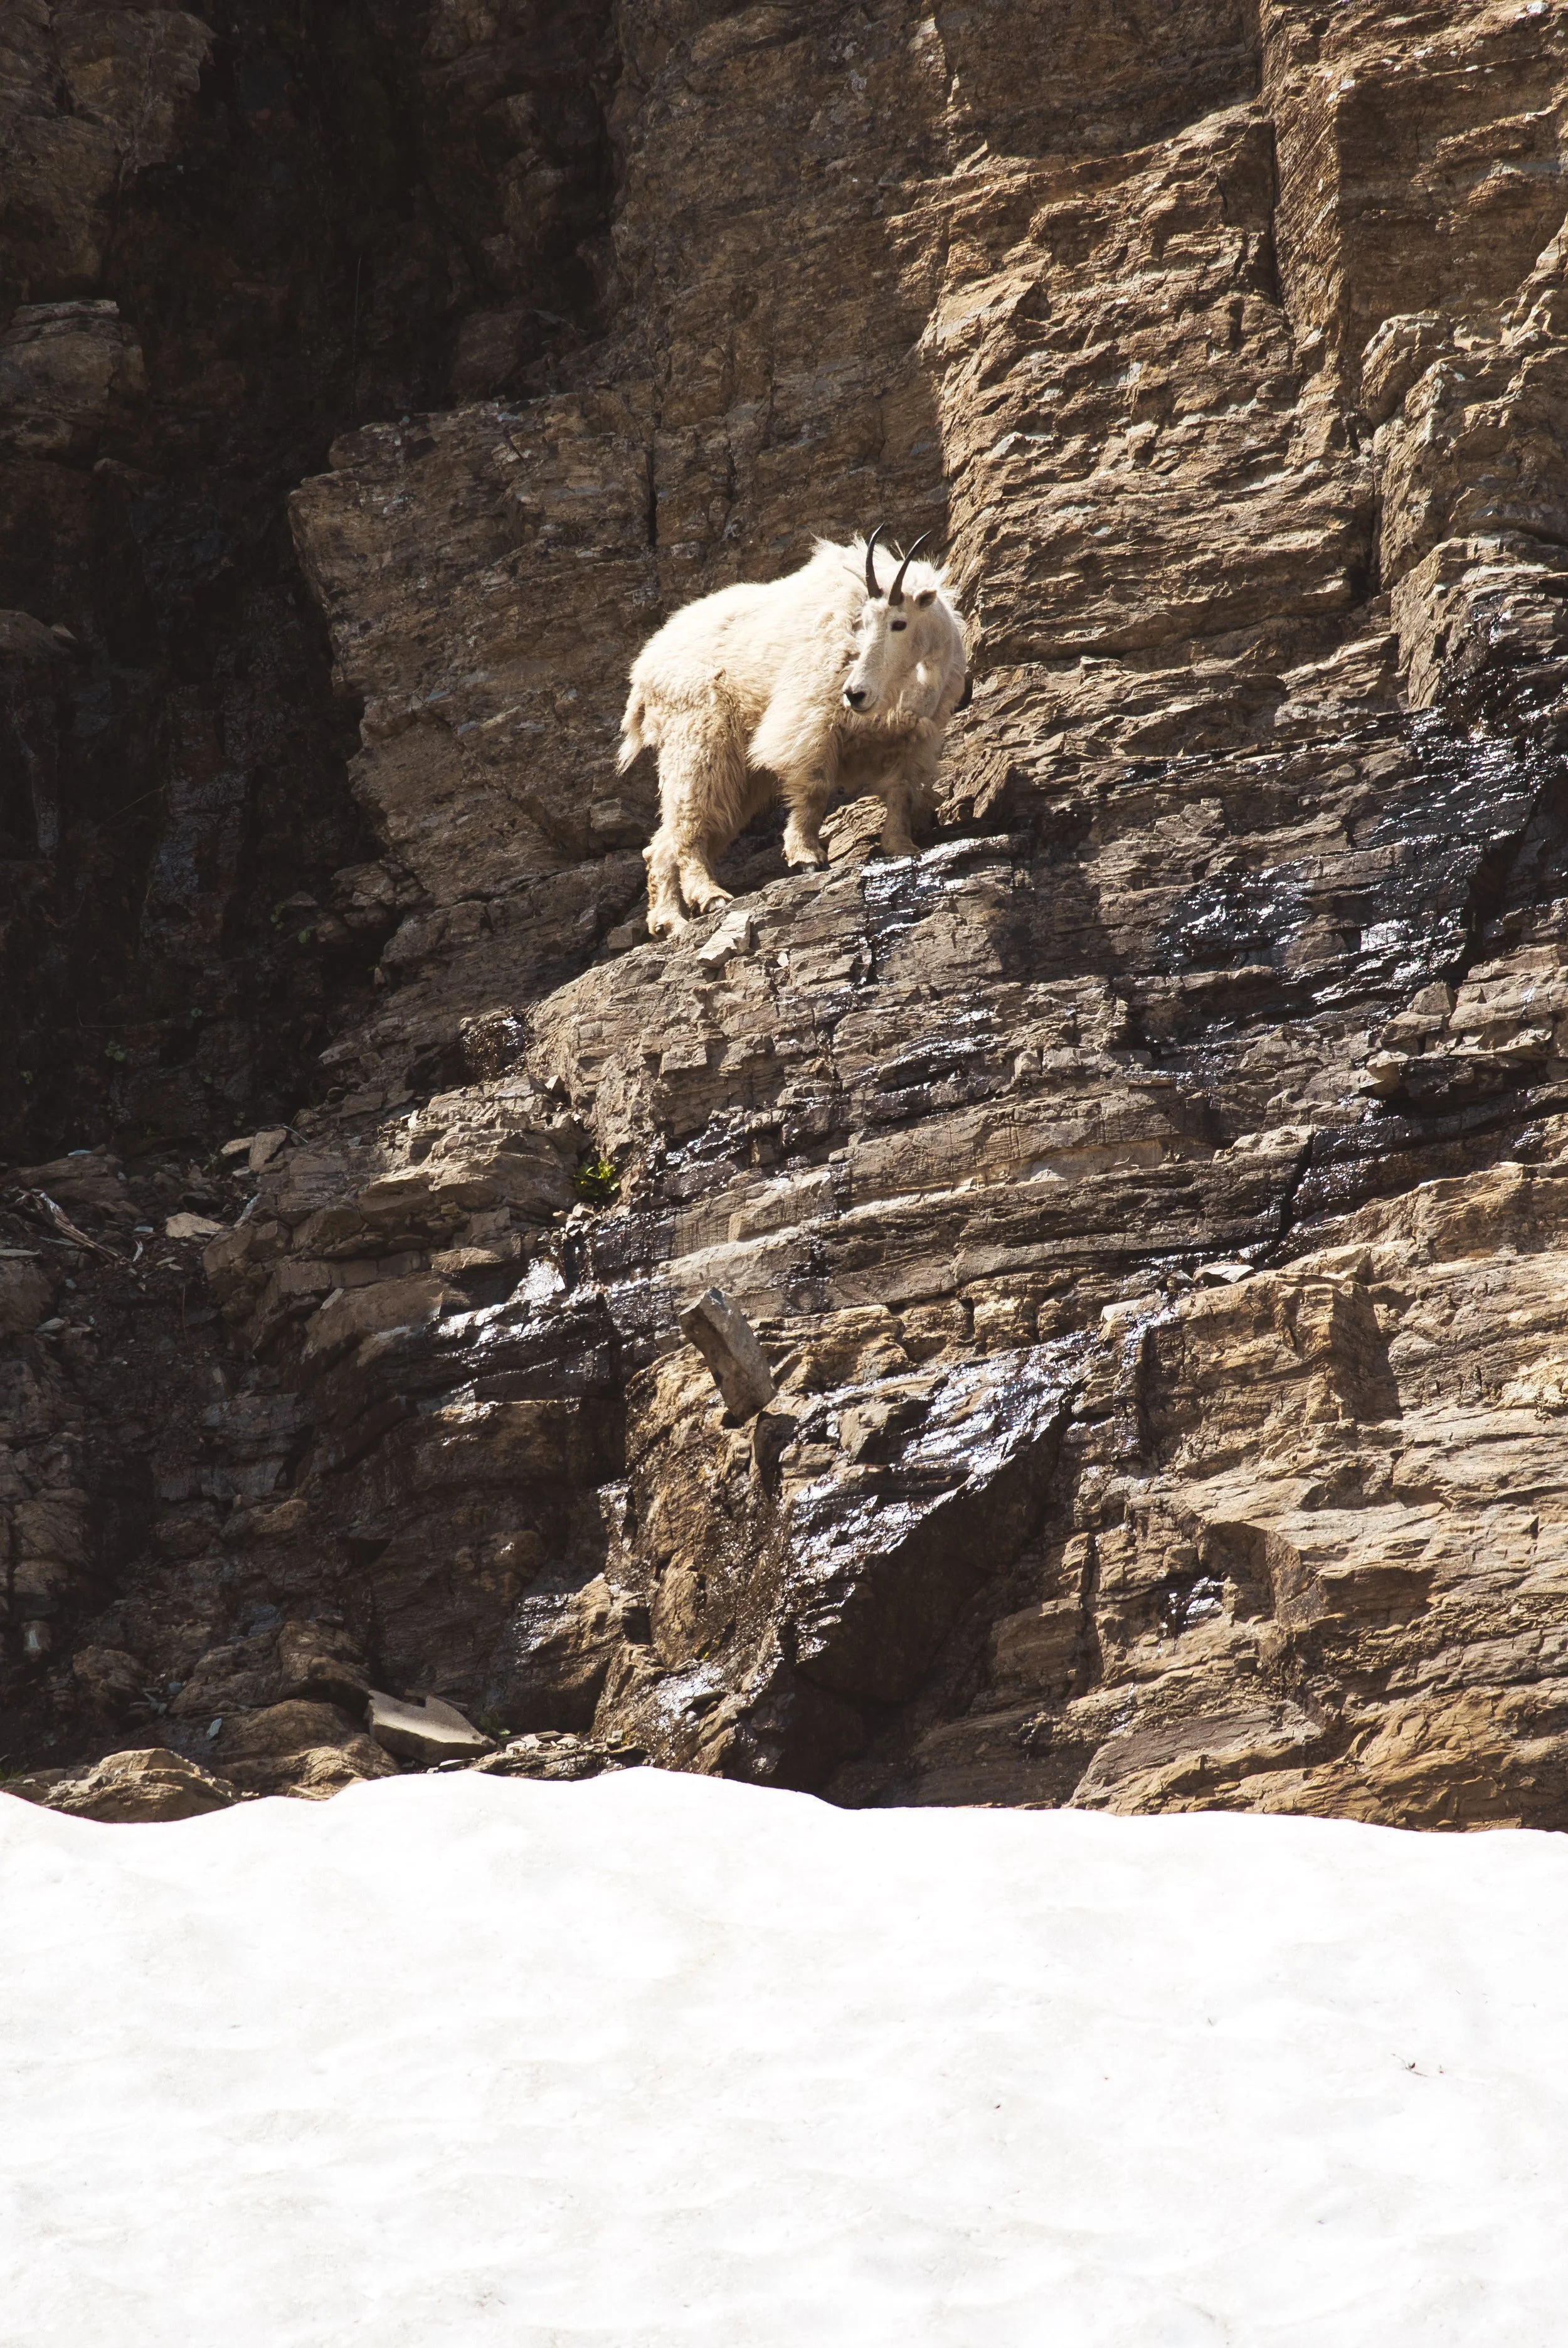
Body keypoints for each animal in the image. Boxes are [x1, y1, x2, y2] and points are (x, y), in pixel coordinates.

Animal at [618, 528, 970, 936]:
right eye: (862, 623)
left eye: (900, 623)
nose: (855, 694)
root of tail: (645, 669)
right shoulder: (812, 715)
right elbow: (815, 786)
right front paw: (806, 856)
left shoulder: (913, 739)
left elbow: (901, 792)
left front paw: (901, 846)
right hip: (697, 737)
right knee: (689, 822)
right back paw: (709, 896)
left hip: (736, 772)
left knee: (667, 839)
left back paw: (669, 919)